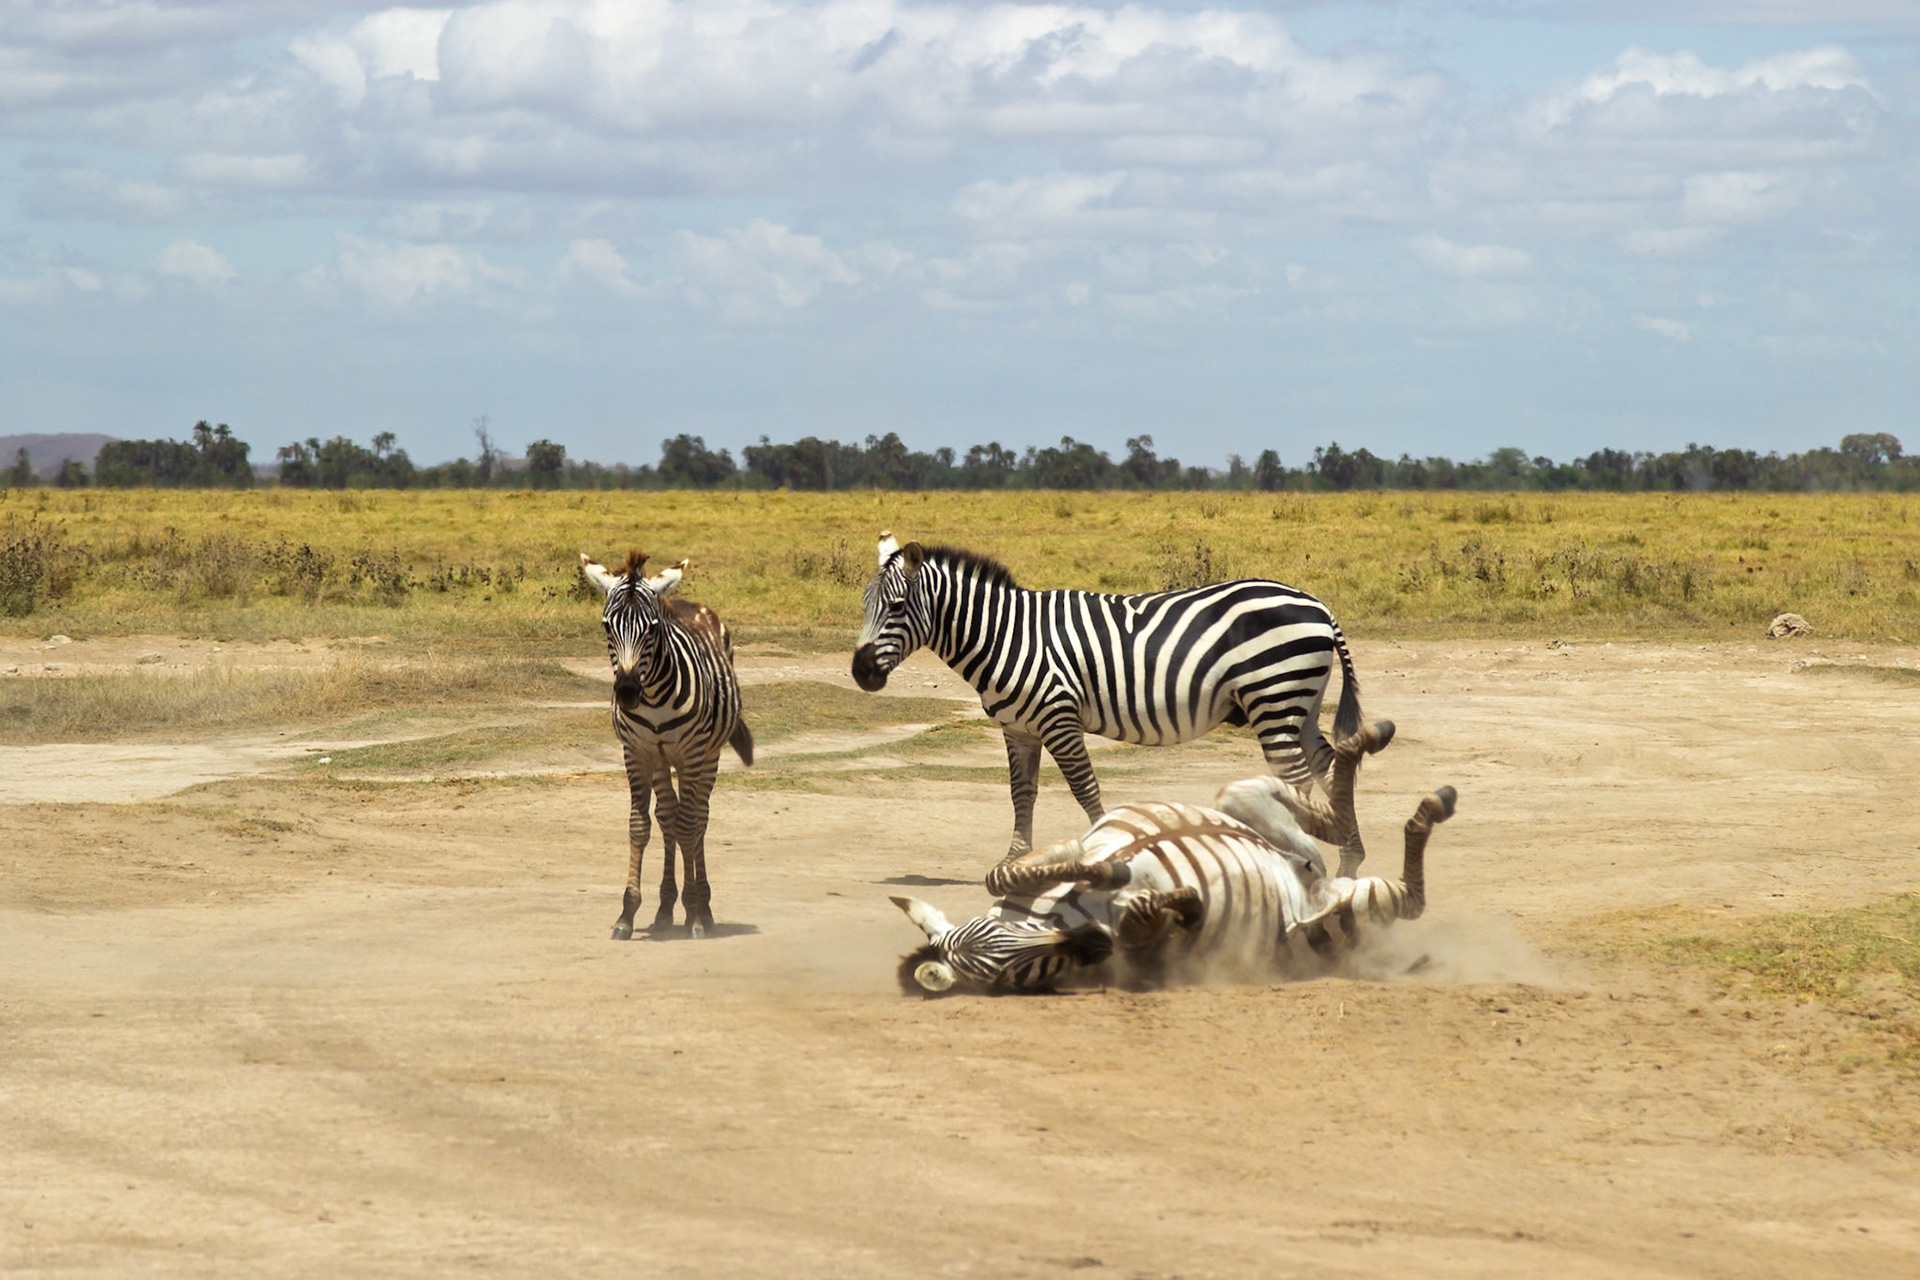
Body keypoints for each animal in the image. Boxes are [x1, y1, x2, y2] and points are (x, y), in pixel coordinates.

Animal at [580, 550, 754, 940]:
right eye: (606, 626)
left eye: (652, 628)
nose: (627, 692)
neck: (655, 695)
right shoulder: (637, 752)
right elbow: (641, 825)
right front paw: (628, 914)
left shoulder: (691, 753)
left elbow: (689, 825)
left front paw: (694, 916)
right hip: (662, 759)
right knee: (668, 815)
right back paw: (664, 910)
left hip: (708, 755)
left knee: (697, 817)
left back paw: (702, 908)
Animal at [851, 531, 1372, 876]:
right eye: (865, 604)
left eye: (896, 607)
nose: (860, 673)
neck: (1004, 636)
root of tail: (1317, 605)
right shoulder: (1018, 728)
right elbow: (1022, 793)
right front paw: (1015, 859)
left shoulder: (1058, 718)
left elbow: (1086, 790)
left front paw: (1100, 850)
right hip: (1301, 704)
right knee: (1329, 767)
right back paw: (1349, 859)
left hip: (1274, 699)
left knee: (1298, 779)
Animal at [892, 720, 1454, 994]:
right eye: (1022, 977)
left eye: (1001, 934)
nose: (1095, 943)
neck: (1066, 912)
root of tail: (1319, 886)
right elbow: (1162, 913)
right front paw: (1156, 900)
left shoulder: (1038, 872)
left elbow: (1003, 872)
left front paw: (1100, 863)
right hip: (1342, 915)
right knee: (1407, 896)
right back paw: (1427, 808)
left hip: (1241, 799)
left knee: (1330, 819)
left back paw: (1374, 746)